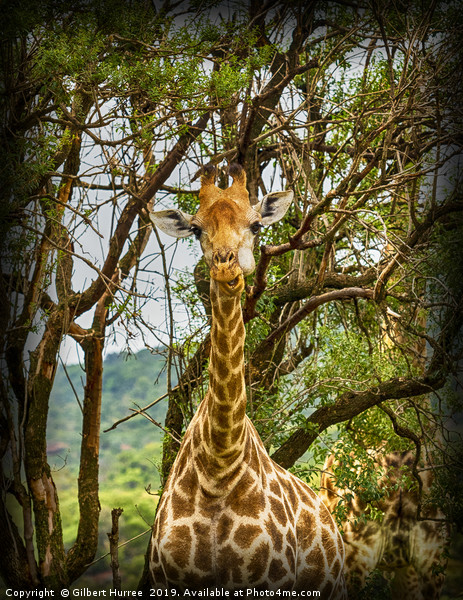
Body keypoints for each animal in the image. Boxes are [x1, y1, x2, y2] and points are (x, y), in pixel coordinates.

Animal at [147, 163, 346, 596]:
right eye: (196, 229)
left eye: (255, 225)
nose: (226, 266)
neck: (218, 465)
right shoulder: (171, 580)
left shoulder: (267, 580)